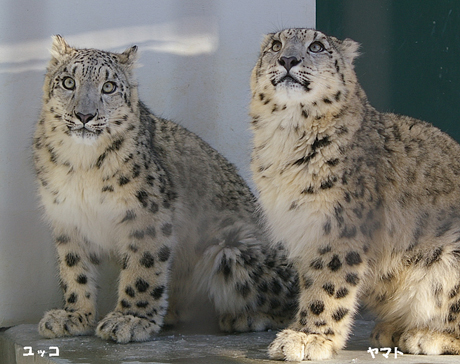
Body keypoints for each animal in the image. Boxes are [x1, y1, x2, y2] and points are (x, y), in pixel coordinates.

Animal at [33, 35, 298, 342]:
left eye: (108, 86)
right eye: (68, 82)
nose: (84, 115)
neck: (81, 165)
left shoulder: (147, 213)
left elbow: (142, 268)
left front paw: (130, 319)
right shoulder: (67, 217)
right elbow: (74, 268)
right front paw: (73, 316)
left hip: (233, 246)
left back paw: (245, 317)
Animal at [250, 27, 460, 360]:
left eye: (316, 46)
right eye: (275, 45)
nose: (288, 59)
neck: (285, 139)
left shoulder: (339, 230)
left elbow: (327, 285)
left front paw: (308, 338)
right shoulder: (303, 228)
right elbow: (310, 279)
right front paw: (300, 329)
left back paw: (426, 335)